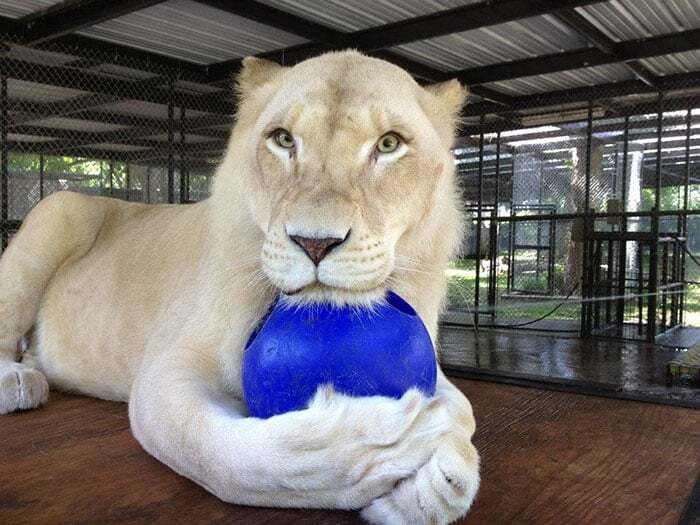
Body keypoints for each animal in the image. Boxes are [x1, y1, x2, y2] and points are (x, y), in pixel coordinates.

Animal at [0, 50, 478, 524]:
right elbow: (226, 456)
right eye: (283, 140)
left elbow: (464, 409)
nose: (315, 243)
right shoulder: (168, 368)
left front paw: (439, 483)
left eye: (388, 144)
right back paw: (18, 380)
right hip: (60, 210)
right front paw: (377, 444)